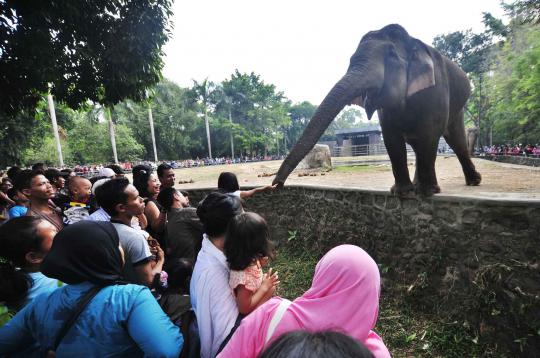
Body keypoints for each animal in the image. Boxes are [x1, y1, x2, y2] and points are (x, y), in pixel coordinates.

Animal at [274, 23, 480, 197]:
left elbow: (429, 134)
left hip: (457, 106)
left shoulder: (435, 90)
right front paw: (401, 192)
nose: (275, 184)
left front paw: (426, 193)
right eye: (351, 59)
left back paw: (473, 181)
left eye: (391, 55)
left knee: (454, 140)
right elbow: (391, 138)